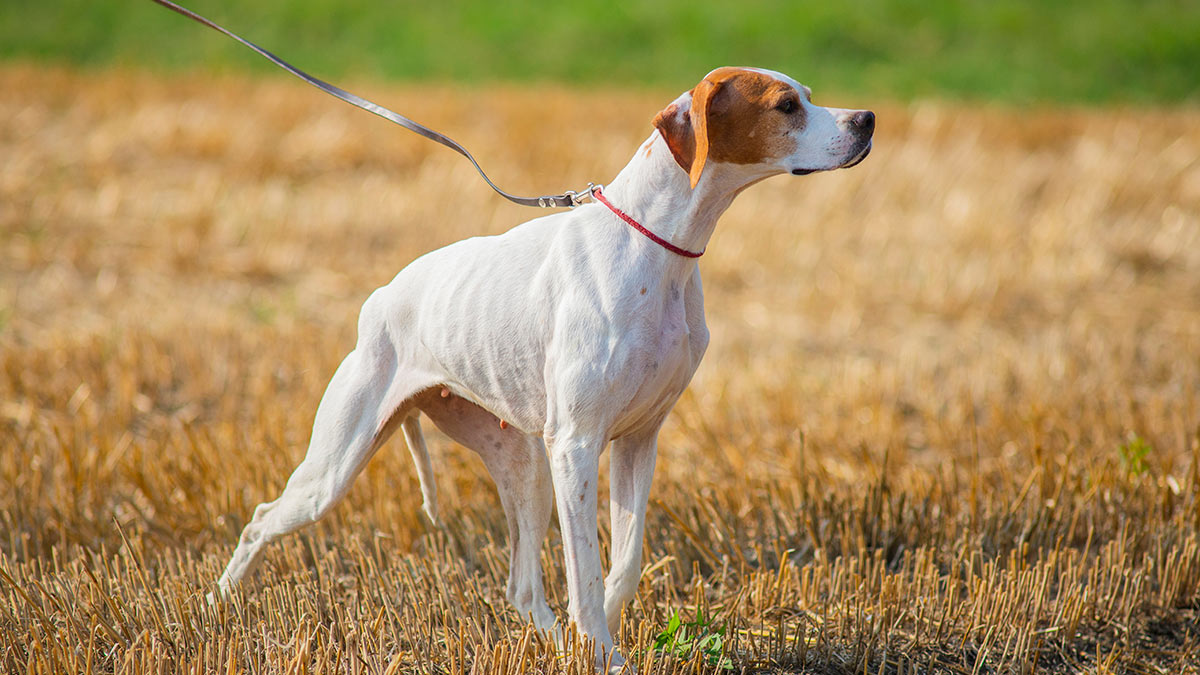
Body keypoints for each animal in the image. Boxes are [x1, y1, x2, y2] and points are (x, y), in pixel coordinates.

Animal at [216, 66, 873, 667]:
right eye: (786, 105)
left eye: (809, 95)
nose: (867, 119)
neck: (654, 247)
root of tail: (380, 298)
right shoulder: (577, 445)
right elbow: (585, 568)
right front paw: (600, 650)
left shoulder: (639, 439)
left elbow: (625, 562)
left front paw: (604, 642)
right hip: (336, 469)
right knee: (260, 520)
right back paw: (218, 605)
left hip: (523, 465)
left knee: (522, 586)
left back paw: (555, 643)